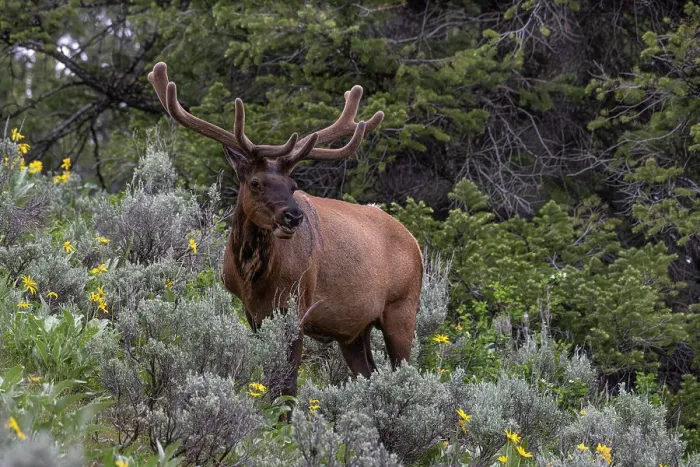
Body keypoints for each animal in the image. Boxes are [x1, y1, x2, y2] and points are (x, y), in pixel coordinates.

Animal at [148, 62, 423, 397]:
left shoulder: (295, 306)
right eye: (255, 183)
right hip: (355, 329)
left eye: (292, 185)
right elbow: (271, 378)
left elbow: (287, 384)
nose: (293, 216)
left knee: (407, 373)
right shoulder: (254, 312)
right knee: (370, 373)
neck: (254, 275)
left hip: (402, 308)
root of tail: (416, 244)